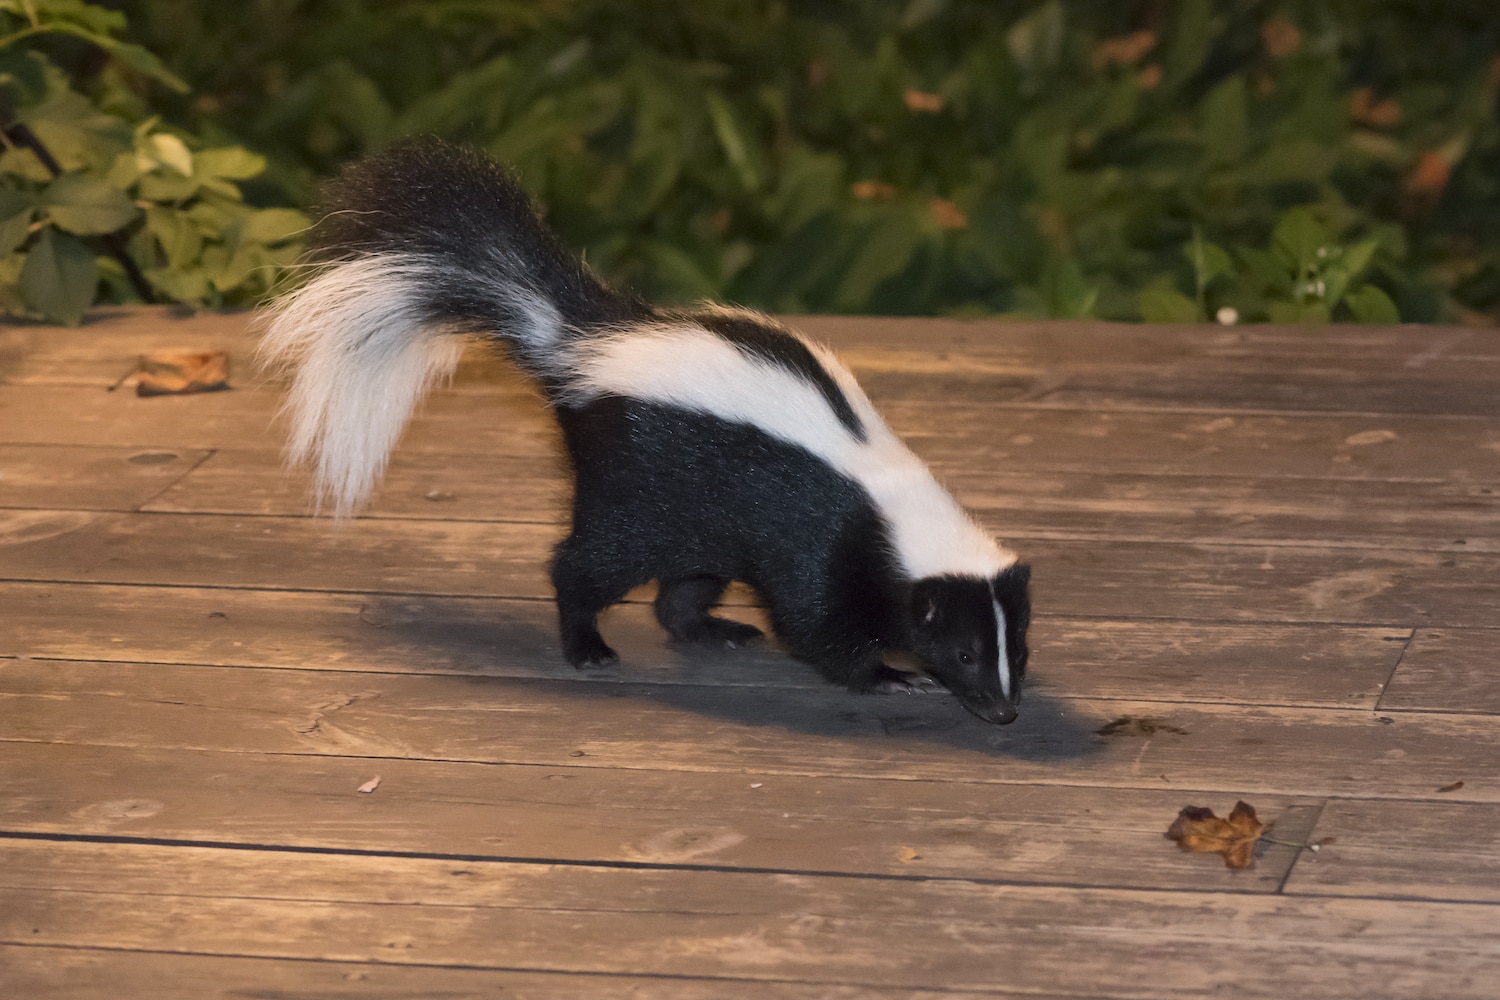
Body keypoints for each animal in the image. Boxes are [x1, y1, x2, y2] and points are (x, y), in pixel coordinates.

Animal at [261, 140, 1032, 722]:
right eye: (964, 651)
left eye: (1016, 649)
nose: (1003, 711)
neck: (891, 500)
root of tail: (584, 346)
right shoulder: (820, 545)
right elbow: (814, 624)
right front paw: (890, 676)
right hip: (634, 488)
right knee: (585, 563)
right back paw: (587, 646)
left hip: (697, 516)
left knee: (682, 588)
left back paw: (715, 630)